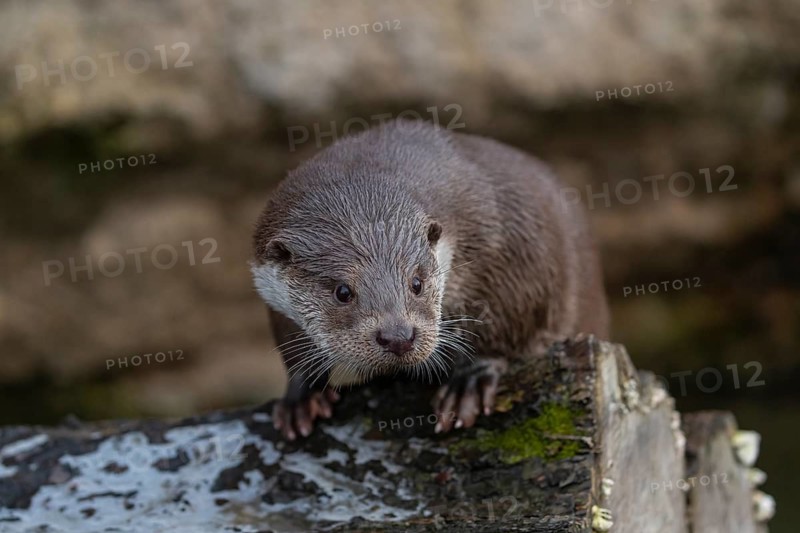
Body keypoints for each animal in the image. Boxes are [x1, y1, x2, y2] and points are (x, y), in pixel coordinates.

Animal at [252, 120, 609, 440]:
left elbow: (508, 316)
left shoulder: (513, 248)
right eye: (342, 291)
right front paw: (302, 394)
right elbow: (289, 337)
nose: (398, 337)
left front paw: (471, 380)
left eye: (417, 282)